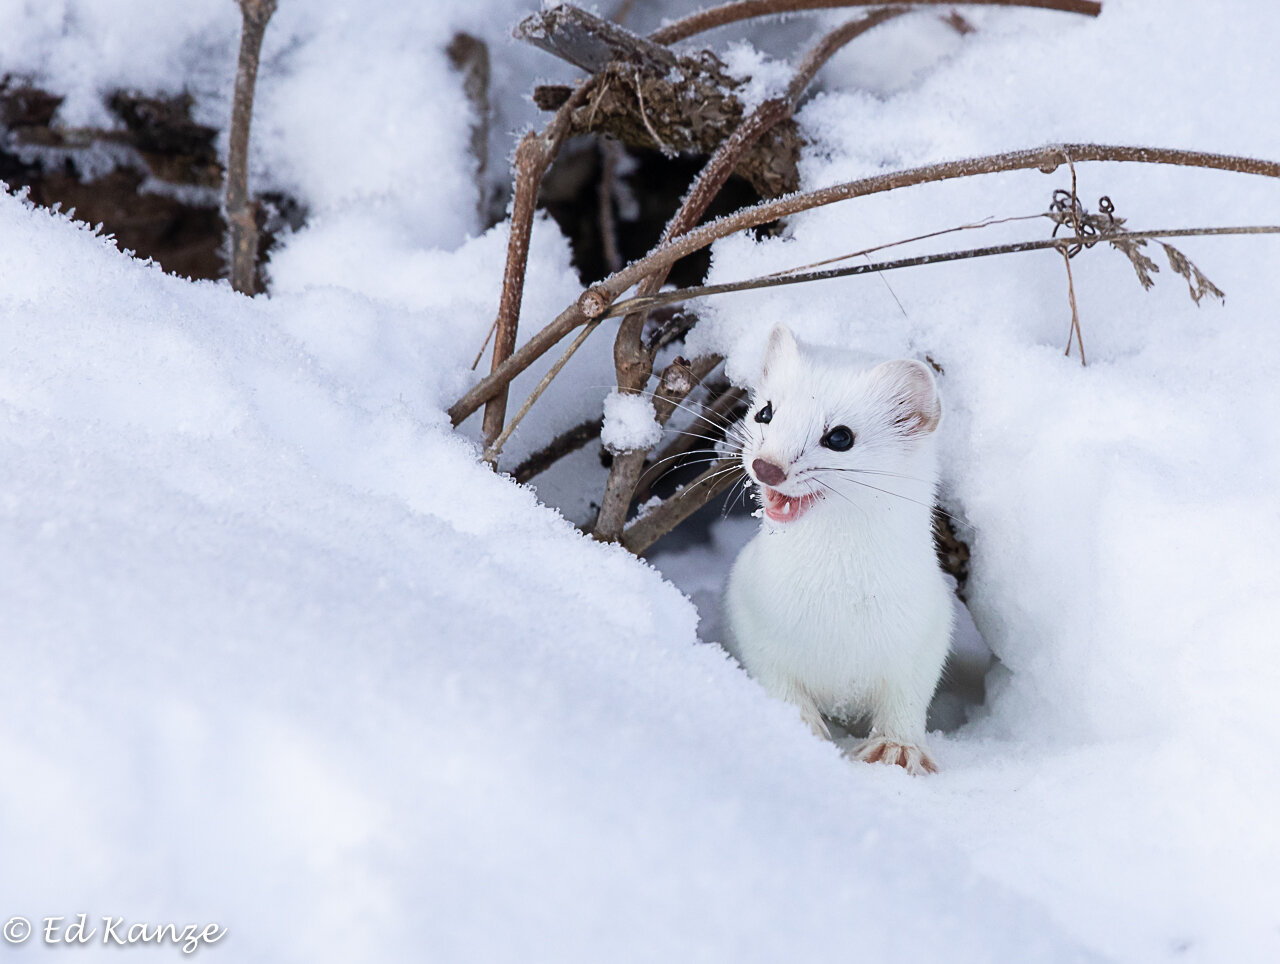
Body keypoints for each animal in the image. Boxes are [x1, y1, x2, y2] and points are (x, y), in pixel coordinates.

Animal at [727, 325, 957, 773]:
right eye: (765, 412)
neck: (836, 600)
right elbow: (776, 679)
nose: (768, 466)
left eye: (839, 436)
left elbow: (908, 697)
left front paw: (897, 748)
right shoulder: (750, 611)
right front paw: (798, 728)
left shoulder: (928, 626)